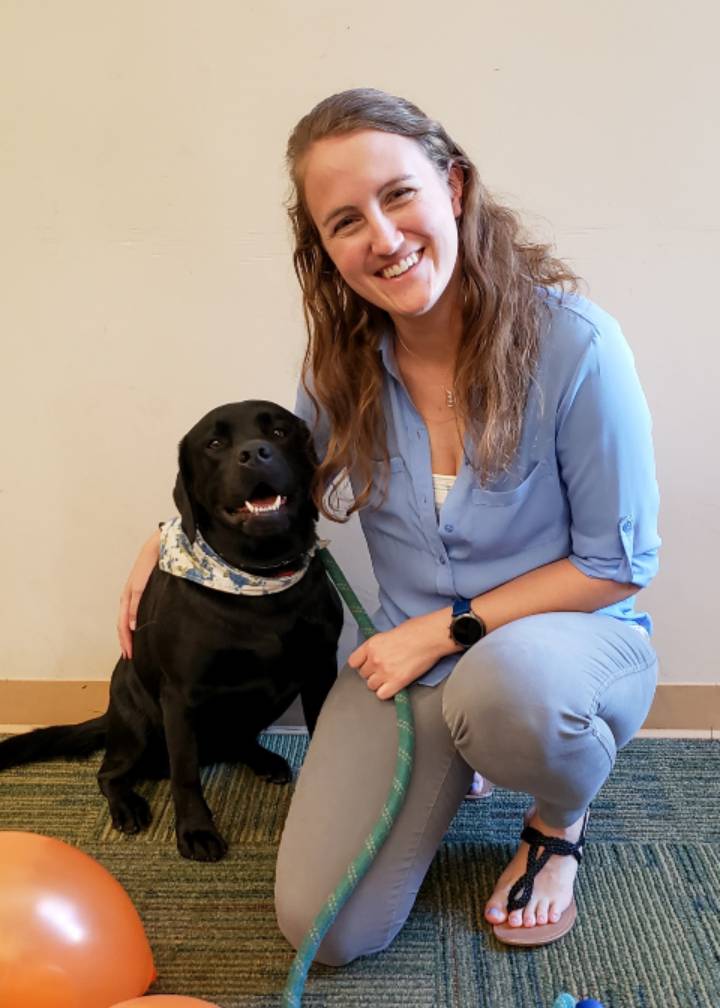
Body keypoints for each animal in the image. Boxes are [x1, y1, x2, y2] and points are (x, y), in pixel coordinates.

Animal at [0, 399, 342, 858]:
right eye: (214, 444)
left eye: (280, 432)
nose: (256, 453)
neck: (259, 582)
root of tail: (110, 715)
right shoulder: (180, 696)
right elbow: (185, 773)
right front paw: (195, 830)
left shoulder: (321, 670)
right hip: (139, 725)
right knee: (109, 773)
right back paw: (127, 806)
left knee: (238, 739)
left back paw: (265, 759)